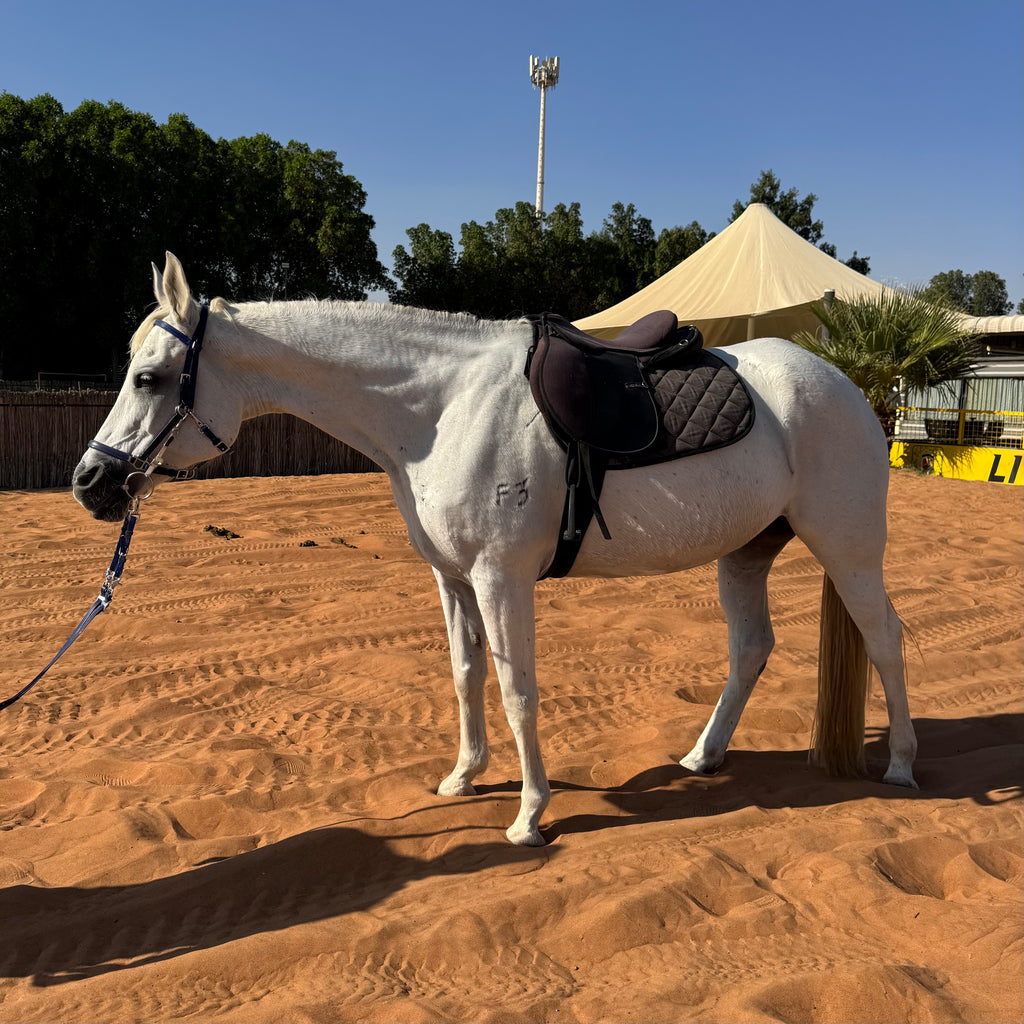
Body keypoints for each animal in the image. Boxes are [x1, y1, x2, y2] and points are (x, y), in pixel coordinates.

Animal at [72, 253, 917, 846]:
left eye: (148, 378)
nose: (91, 483)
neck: (441, 407)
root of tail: (840, 381)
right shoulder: (452, 578)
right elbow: (465, 675)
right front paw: (464, 777)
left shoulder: (499, 578)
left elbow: (516, 690)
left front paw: (529, 815)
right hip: (745, 553)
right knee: (750, 650)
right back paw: (703, 757)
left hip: (848, 550)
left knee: (885, 639)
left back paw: (903, 763)